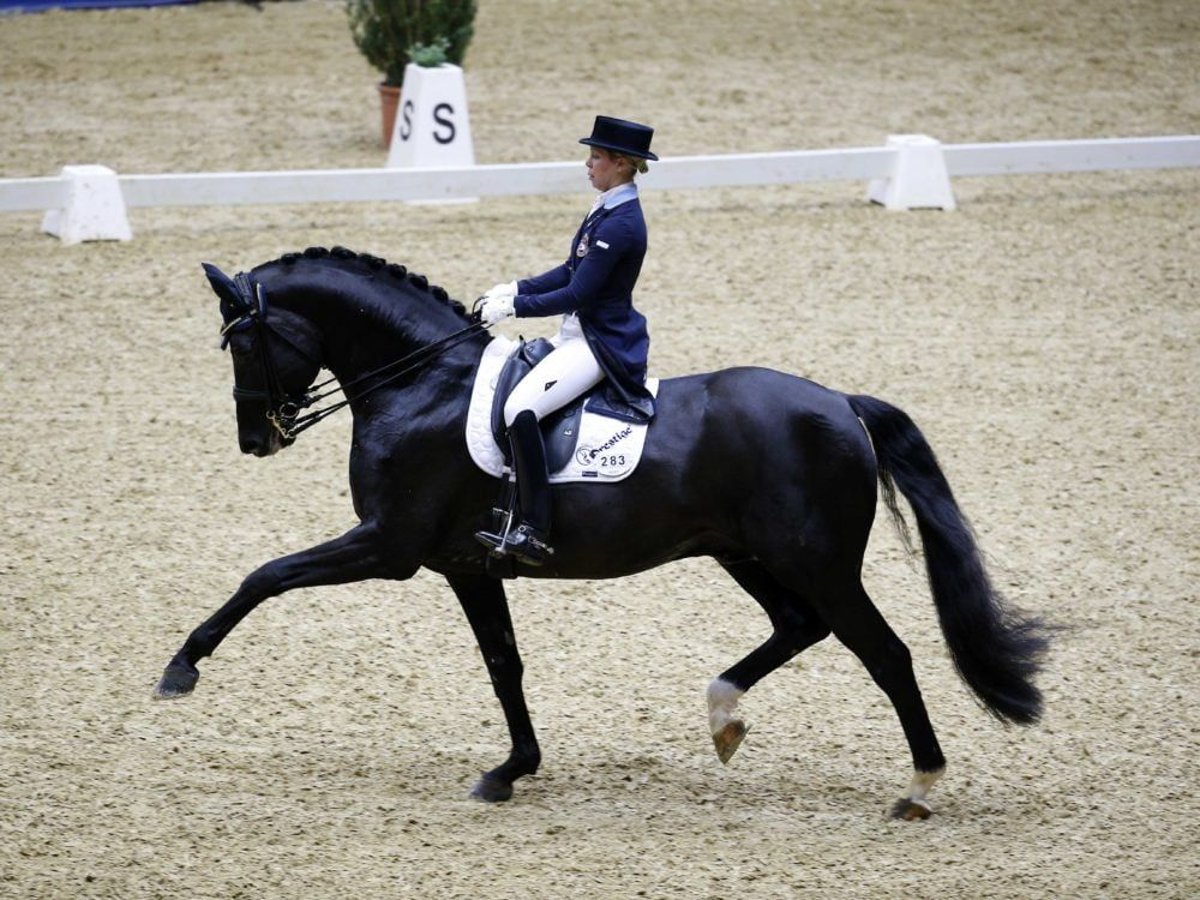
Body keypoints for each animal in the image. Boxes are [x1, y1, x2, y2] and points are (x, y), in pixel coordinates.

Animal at [152, 244, 1051, 816]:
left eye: (240, 343)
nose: (256, 438)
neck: (422, 384)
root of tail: (840, 402)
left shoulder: (389, 545)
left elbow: (265, 575)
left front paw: (181, 667)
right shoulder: (465, 565)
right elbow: (504, 666)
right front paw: (512, 770)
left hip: (818, 561)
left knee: (886, 654)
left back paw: (919, 789)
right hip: (744, 552)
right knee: (799, 626)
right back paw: (724, 715)